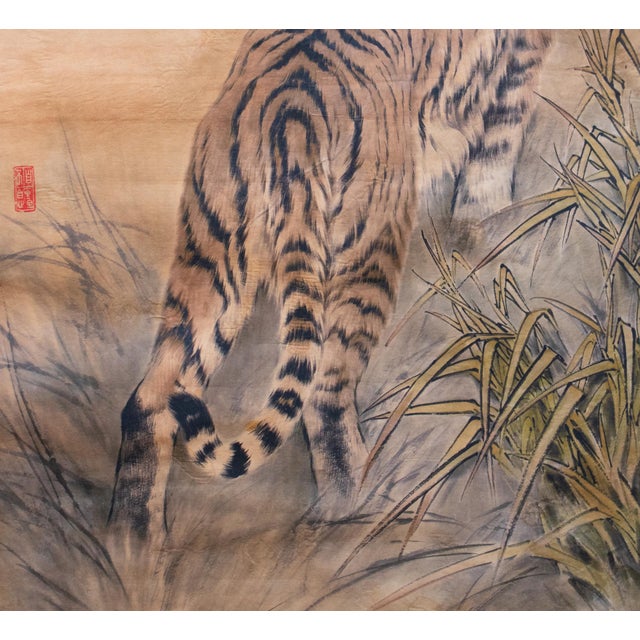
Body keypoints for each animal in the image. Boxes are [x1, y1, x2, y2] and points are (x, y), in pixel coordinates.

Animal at [108, 29, 551, 540]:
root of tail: (291, 113)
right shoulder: (522, 50)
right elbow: (501, 136)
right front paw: (489, 227)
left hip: (211, 260)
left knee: (148, 401)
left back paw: (132, 545)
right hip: (366, 254)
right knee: (324, 397)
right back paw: (356, 513)